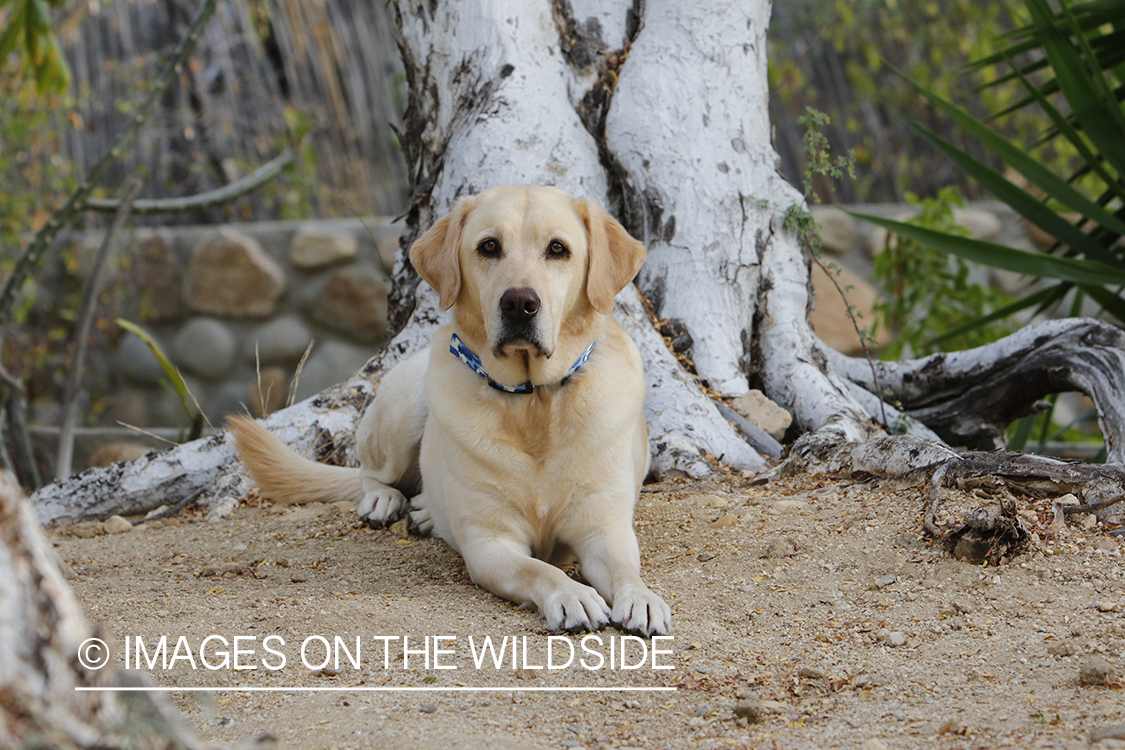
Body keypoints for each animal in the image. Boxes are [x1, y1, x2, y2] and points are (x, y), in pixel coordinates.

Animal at [226, 186, 666, 634]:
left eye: (558, 249)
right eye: (489, 246)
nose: (519, 303)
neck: (532, 401)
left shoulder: (605, 531)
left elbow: (626, 569)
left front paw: (642, 598)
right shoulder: (489, 543)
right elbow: (540, 570)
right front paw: (572, 594)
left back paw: (423, 511)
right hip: (404, 410)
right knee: (370, 473)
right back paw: (385, 501)